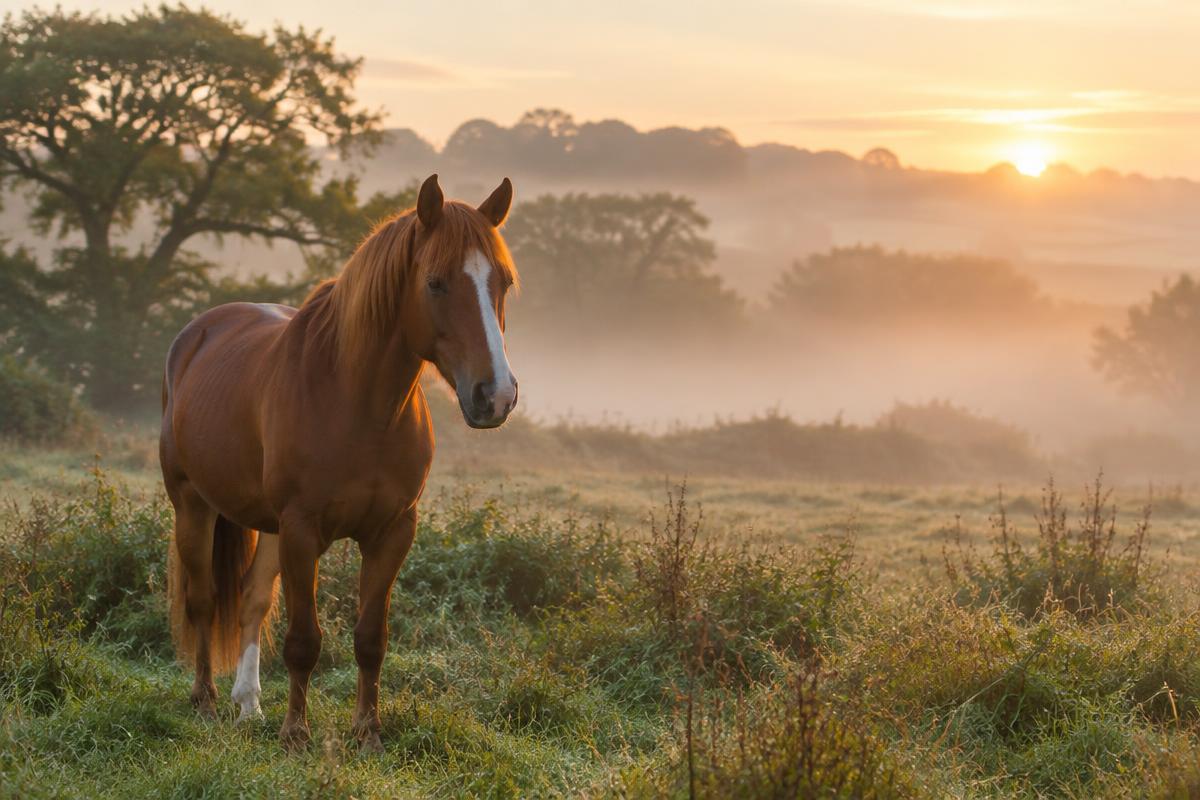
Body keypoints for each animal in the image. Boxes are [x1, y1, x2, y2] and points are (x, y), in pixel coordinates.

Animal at [159, 174, 518, 751]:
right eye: (436, 283)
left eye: (503, 281)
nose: (496, 396)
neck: (359, 405)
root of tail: (197, 333)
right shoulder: (303, 530)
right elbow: (304, 639)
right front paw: (296, 734)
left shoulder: (393, 532)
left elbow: (371, 637)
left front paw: (367, 732)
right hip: (193, 505)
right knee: (204, 601)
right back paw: (206, 701)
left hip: (266, 525)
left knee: (252, 602)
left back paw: (248, 704)